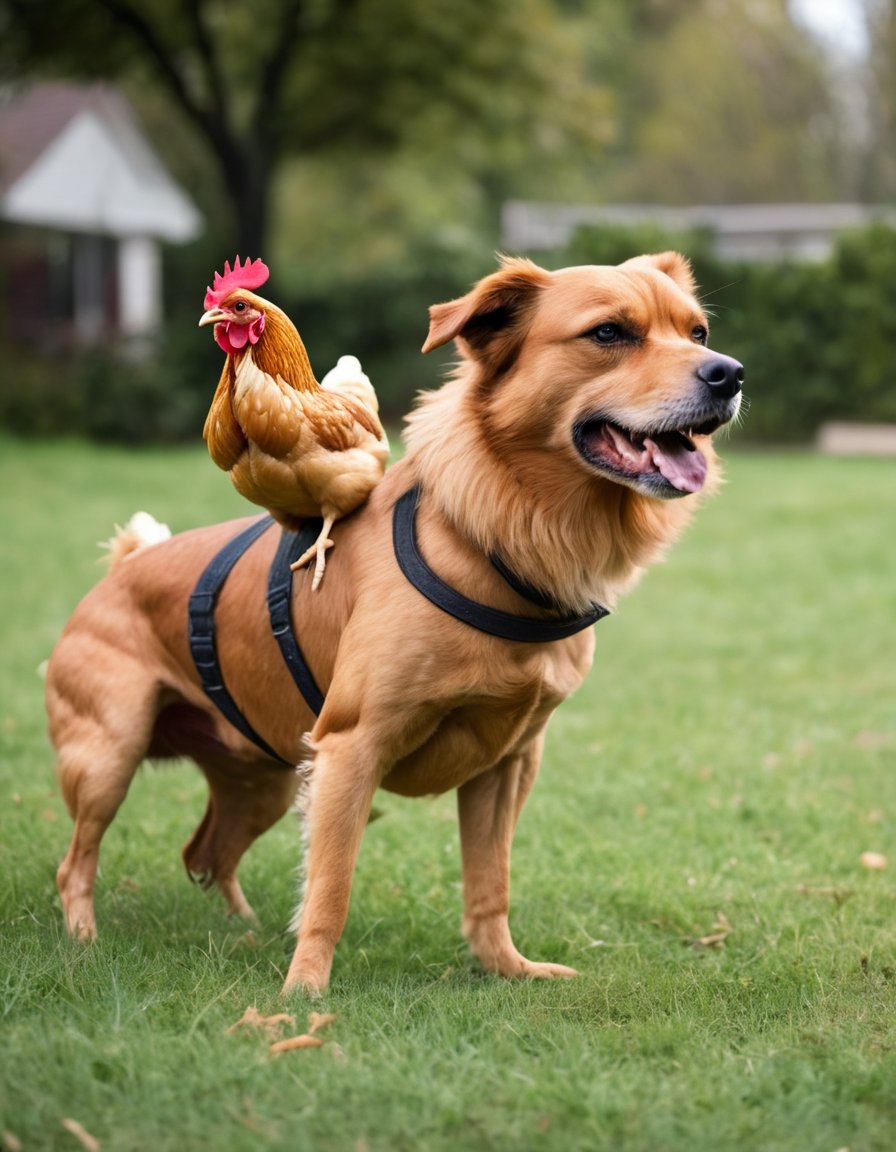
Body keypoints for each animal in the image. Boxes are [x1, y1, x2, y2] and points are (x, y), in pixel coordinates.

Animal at [47, 252, 741, 990]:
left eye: (697, 331)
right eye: (609, 332)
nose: (728, 373)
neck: (489, 538)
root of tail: (123, 567)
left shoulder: (509, 762)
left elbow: (490, 884)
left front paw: (506, 968)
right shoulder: (350, 747)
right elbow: (329, 887)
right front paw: (303, 991)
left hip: (262, 777)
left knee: (205, 852)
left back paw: (241, 929)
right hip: (107, 758)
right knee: (77, 861)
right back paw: (85, 939)